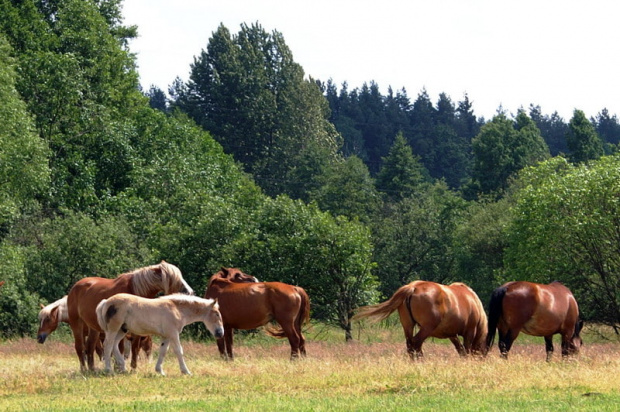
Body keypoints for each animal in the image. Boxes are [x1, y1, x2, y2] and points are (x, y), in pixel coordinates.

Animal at [95, 292, 224, 374]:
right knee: (108, 345)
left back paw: (123, 368)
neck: (177, 309)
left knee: (114, 345)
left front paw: (160, 371)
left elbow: (163, 351)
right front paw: (186, 371)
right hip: (113, 329)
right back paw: (109, 370)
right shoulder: (173, 334)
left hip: (122, 330)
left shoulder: (166, 336)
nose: (220, 333)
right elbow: (179, 351)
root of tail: (106, 302)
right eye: (217, 314)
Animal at [352, 280, 486, 358]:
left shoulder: (452, 335)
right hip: (426, 328)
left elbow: (460, 349)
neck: (473, 301)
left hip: (408, 326)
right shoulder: (470, 331)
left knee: (410, 345)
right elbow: (466, 349)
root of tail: (413, 287)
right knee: (416, 343)